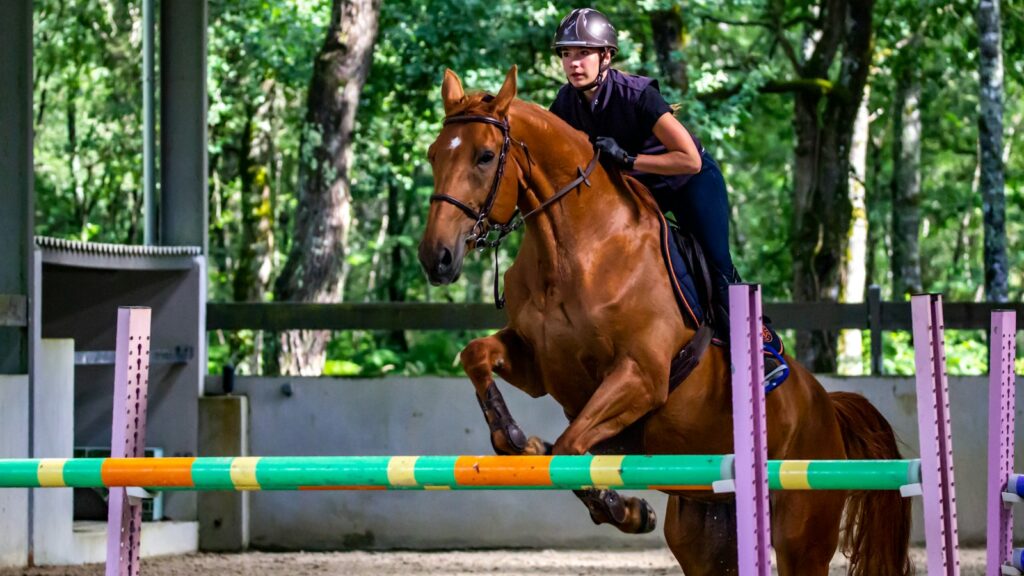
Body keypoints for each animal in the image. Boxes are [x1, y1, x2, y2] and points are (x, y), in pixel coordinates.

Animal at [418, 65, 911, 576]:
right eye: (435, 154)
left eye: (485, 156)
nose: (437, 258)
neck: (575, 249)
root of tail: (825, 406)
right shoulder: (541, 366)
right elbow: (477, 355)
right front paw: (515, 438)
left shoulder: (642, 376)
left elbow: (571, 448)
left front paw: (626, 510)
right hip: (705, 531)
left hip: (803, 537)